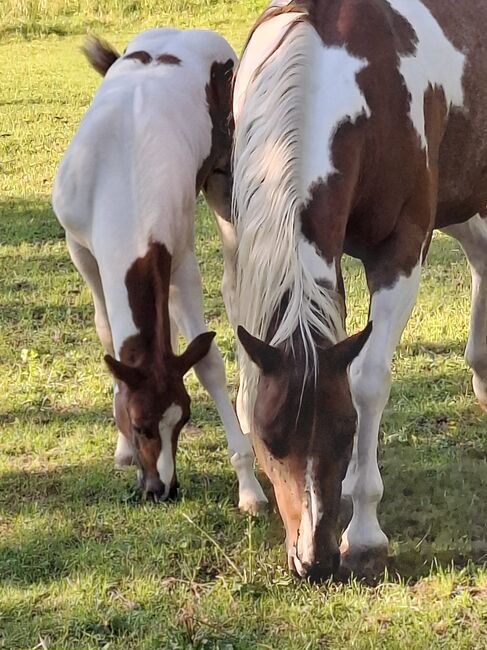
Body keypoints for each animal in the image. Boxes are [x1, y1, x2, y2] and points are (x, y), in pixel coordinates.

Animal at [53, 29, 266, 512]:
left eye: (182, 420)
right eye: (138, 424)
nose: (161, 489)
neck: (122, 180)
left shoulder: (180, 255)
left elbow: (206, 360)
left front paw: (249, 486)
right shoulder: (81, 249)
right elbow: (107, 335)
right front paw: (121, 451)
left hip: (224, 183)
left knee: (237, 286)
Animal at [233, 0, 487, 576]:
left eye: (346, 431)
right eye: (269, 440)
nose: (315, 560)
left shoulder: (401, 251)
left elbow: (369, 382)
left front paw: (365, 529)